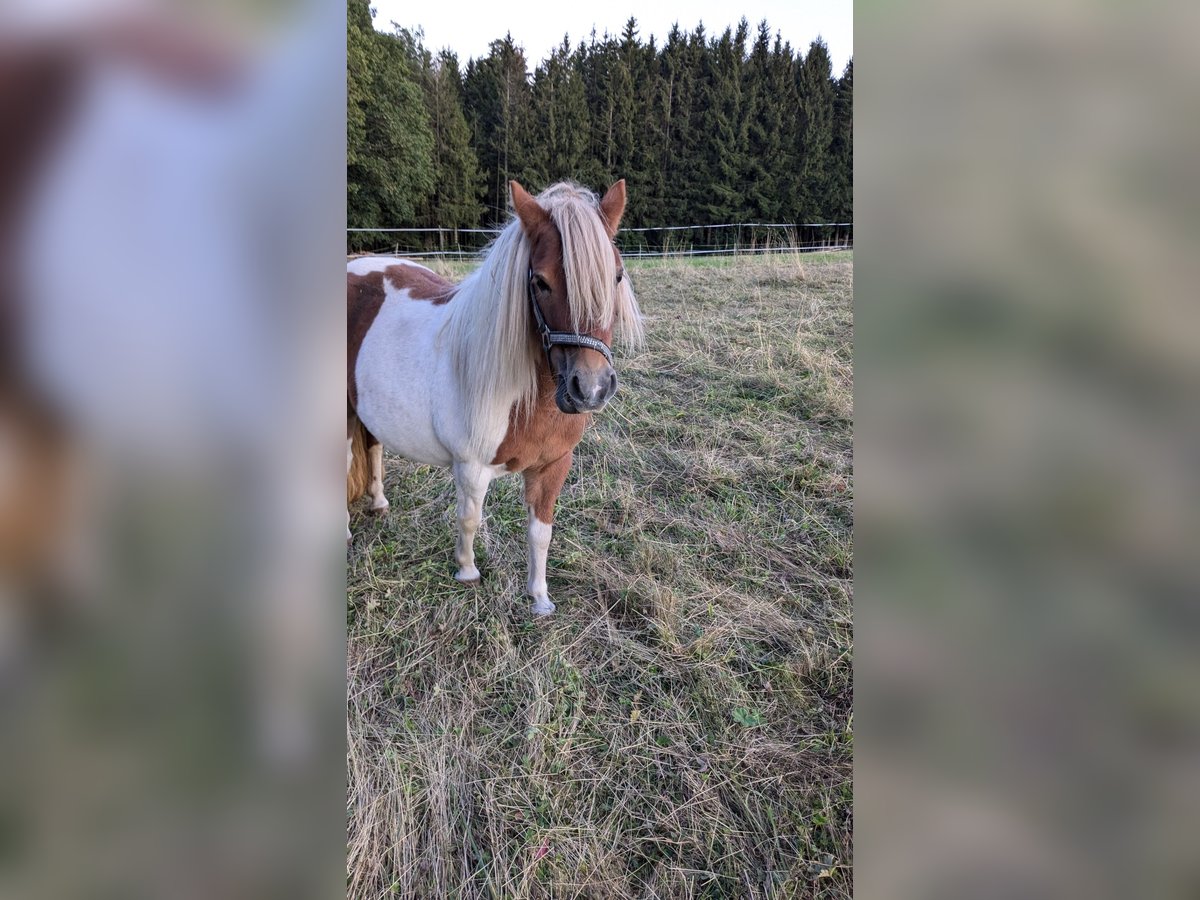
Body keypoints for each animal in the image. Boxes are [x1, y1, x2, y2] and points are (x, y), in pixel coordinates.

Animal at [348, 180, 643, 619]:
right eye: (540, 282)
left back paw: (379, 503)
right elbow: (469, 519)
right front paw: (467, 572)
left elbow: (541, 532)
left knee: (372, 446)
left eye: (617, 276)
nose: (590, 389)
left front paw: (539, 598)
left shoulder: (554, 466)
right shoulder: (471, 468)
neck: (527, 399)